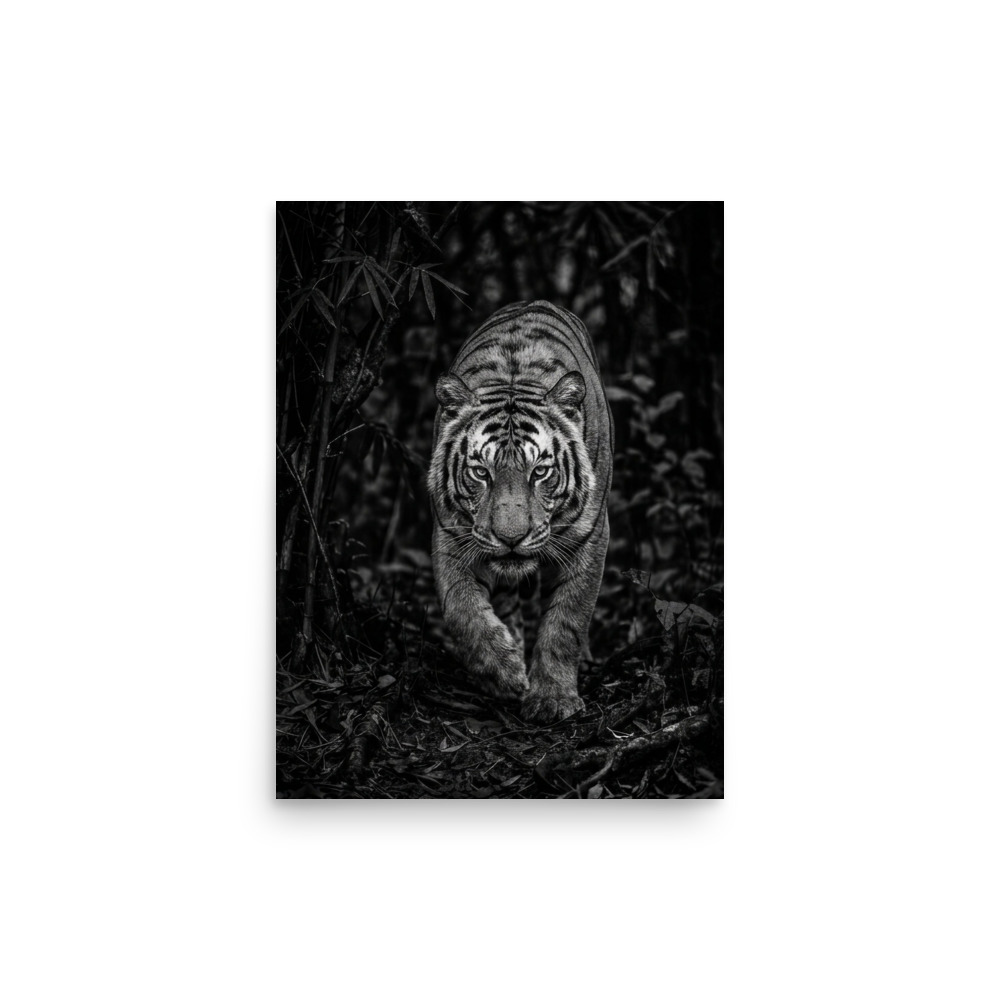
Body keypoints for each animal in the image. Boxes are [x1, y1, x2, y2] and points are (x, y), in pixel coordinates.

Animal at [429, 300, 614, 723]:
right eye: (481, 472)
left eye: (540, 472)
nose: (511, 538)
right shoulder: (451, 536)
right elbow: (461, 611)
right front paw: (506, 673)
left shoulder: (590, 537)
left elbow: (567, 620)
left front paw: (552, 699)